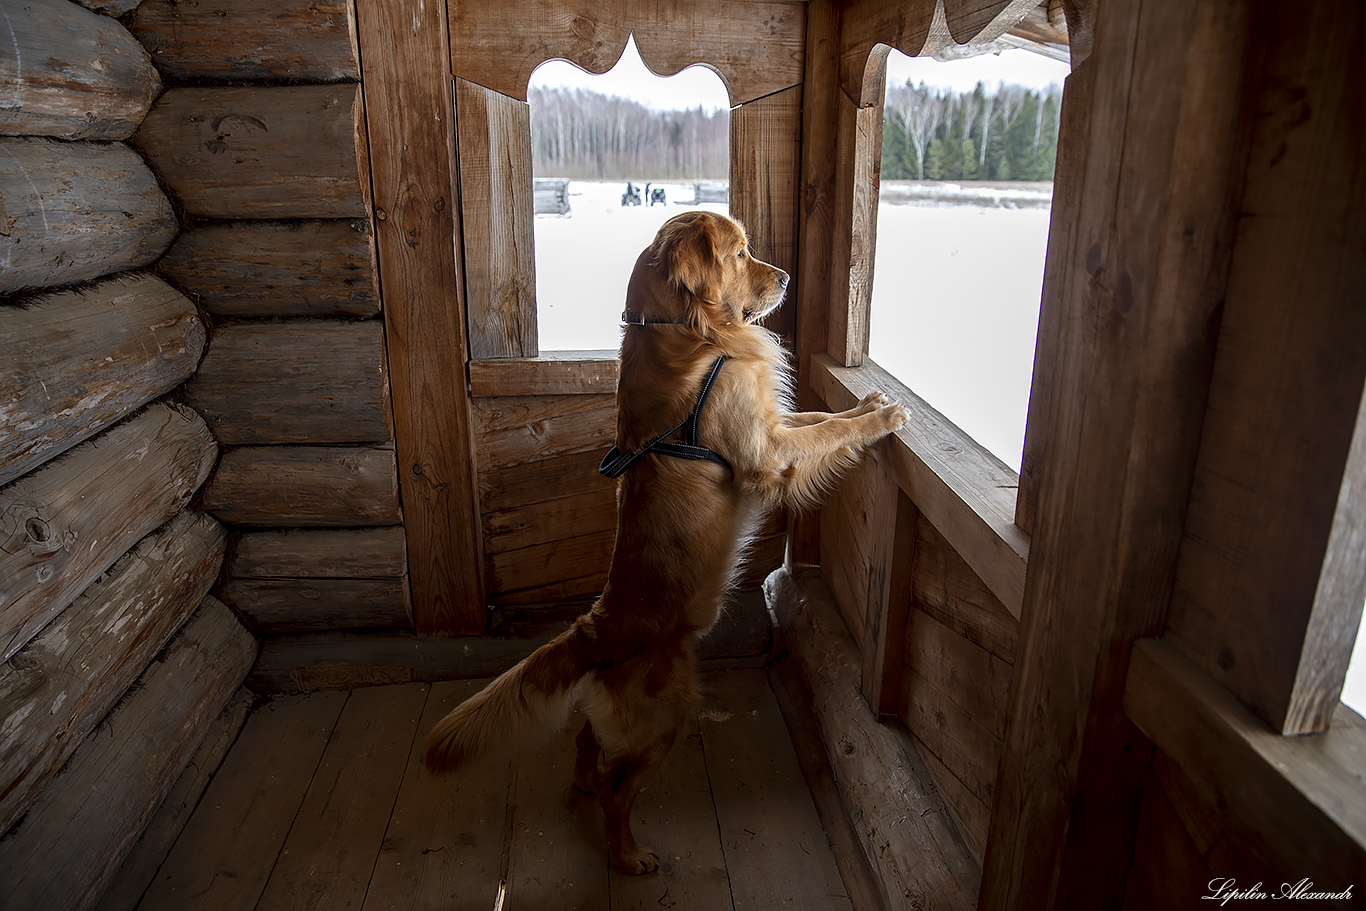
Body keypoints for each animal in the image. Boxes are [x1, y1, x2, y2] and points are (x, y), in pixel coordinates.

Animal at [426, 210, 907, 874]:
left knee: (587, 742)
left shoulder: (773, 426)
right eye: (741, 252)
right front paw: (880, 418)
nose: (786, 276)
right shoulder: (767, 452)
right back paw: (628, 856)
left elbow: (820, 420)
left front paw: (866, 403)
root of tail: (595, 632)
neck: (689, 332)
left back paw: (583, 787)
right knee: (616, 787)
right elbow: (828, 432)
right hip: (667, 715)